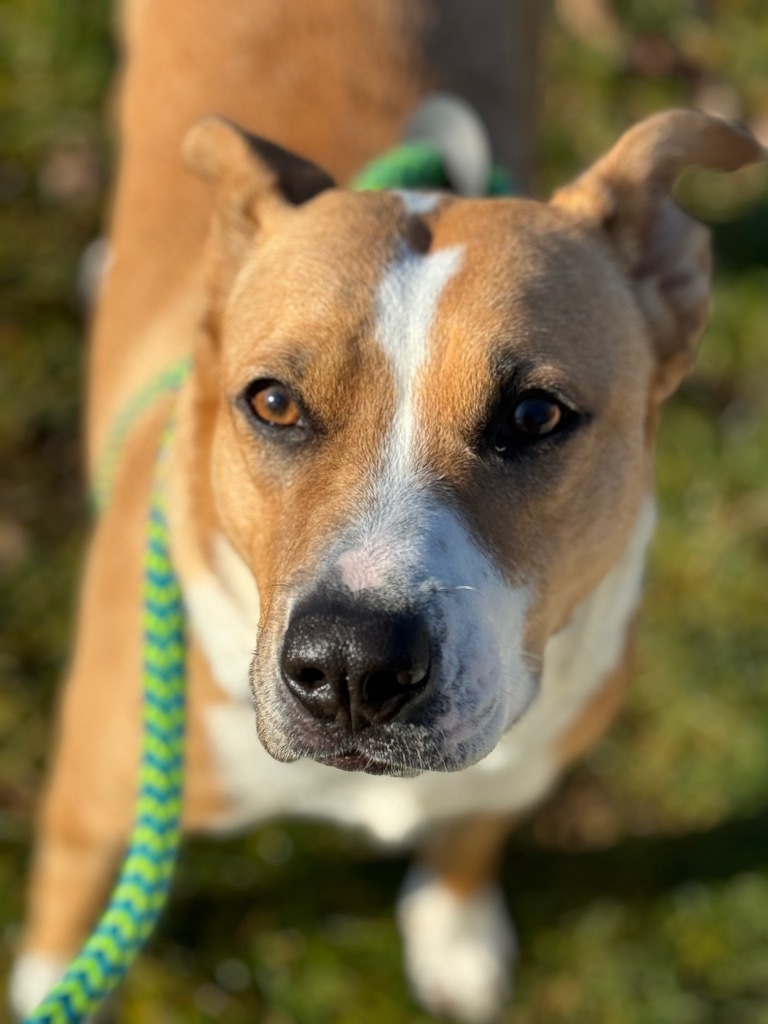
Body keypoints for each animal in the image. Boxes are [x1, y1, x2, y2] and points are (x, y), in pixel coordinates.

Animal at [9, 2, 765, 1024]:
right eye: (274, 402)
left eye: (535, 415)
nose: (354, 668)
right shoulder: (91, 811)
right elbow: (65, 917)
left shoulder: (526, 755)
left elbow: (473, 829)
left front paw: (454, 928)